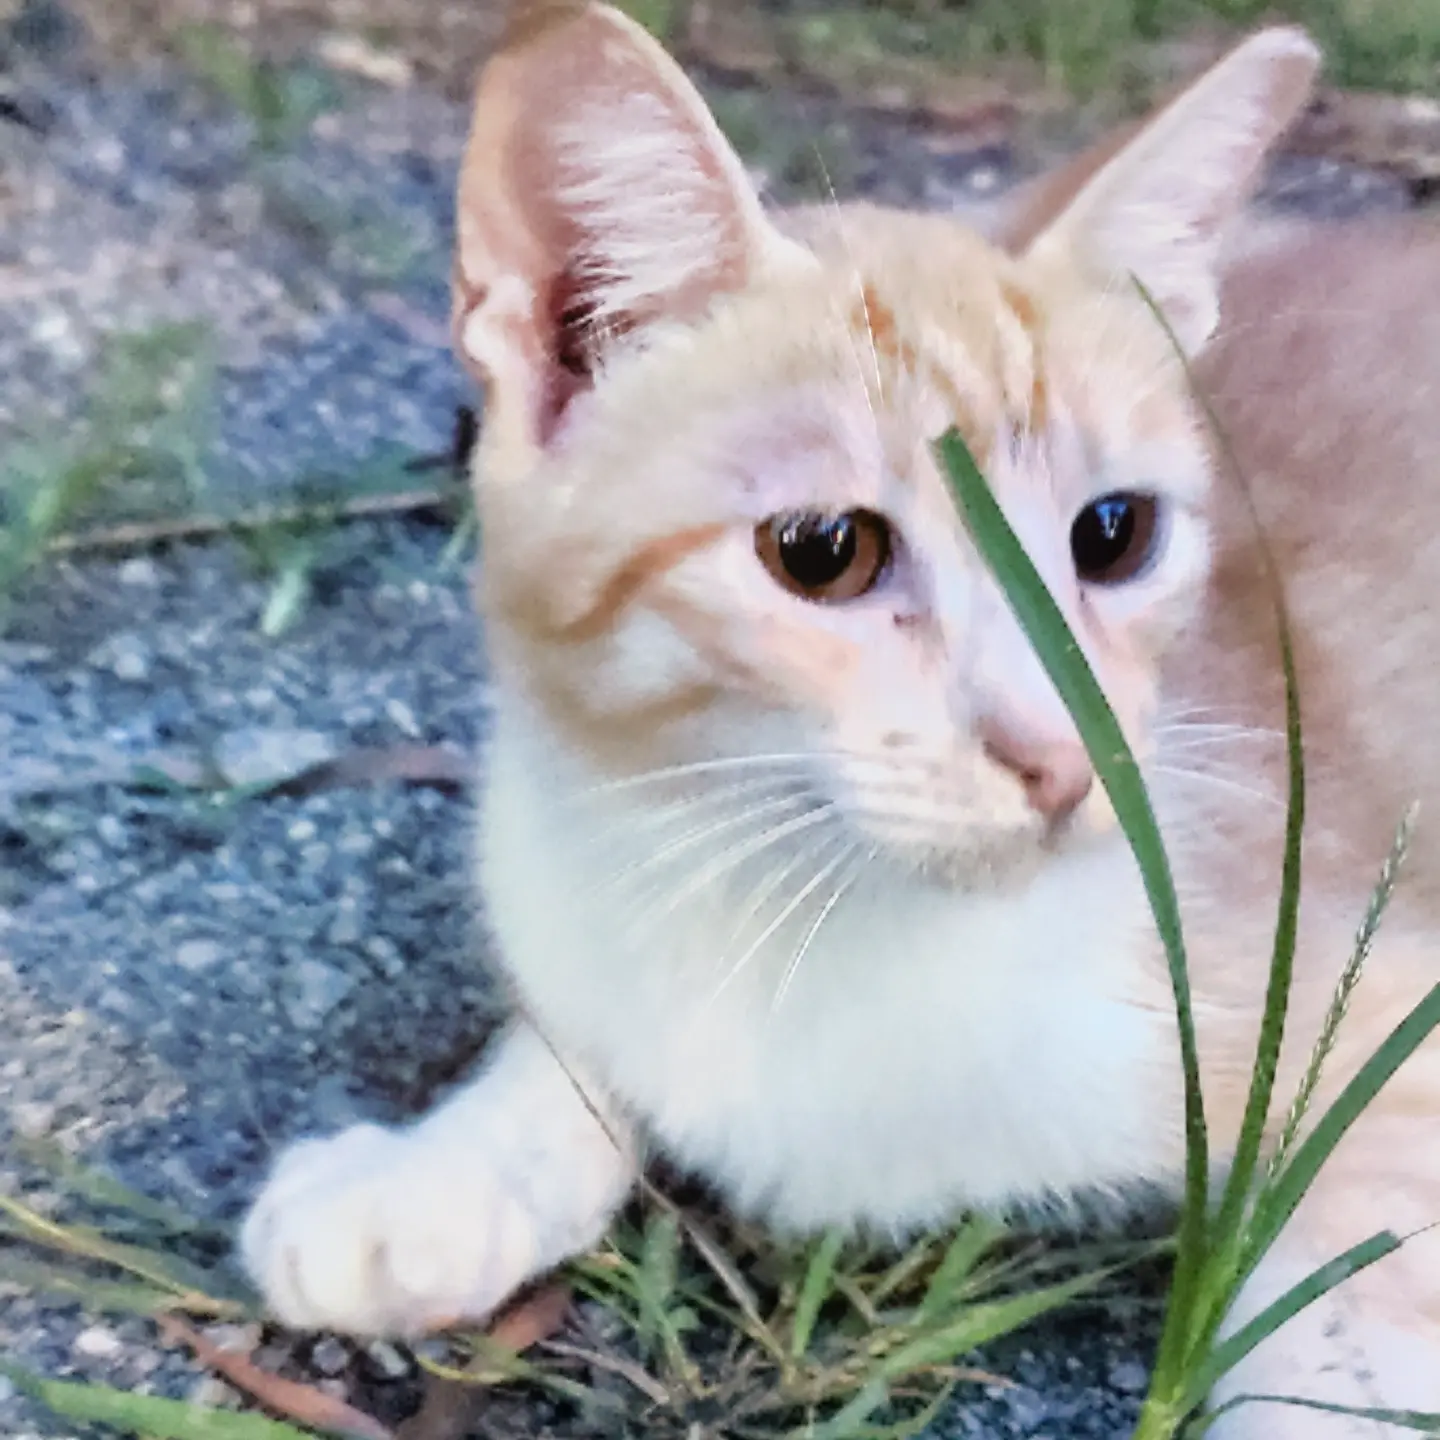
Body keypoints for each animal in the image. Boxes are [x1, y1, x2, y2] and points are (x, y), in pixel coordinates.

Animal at [241, 5, 1440, 1434]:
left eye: (1114, 533)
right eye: (824, 552)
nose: (1062, 759)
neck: (789, 909)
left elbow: (1356, 1295)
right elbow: (580, 1033)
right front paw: (444, 1173)